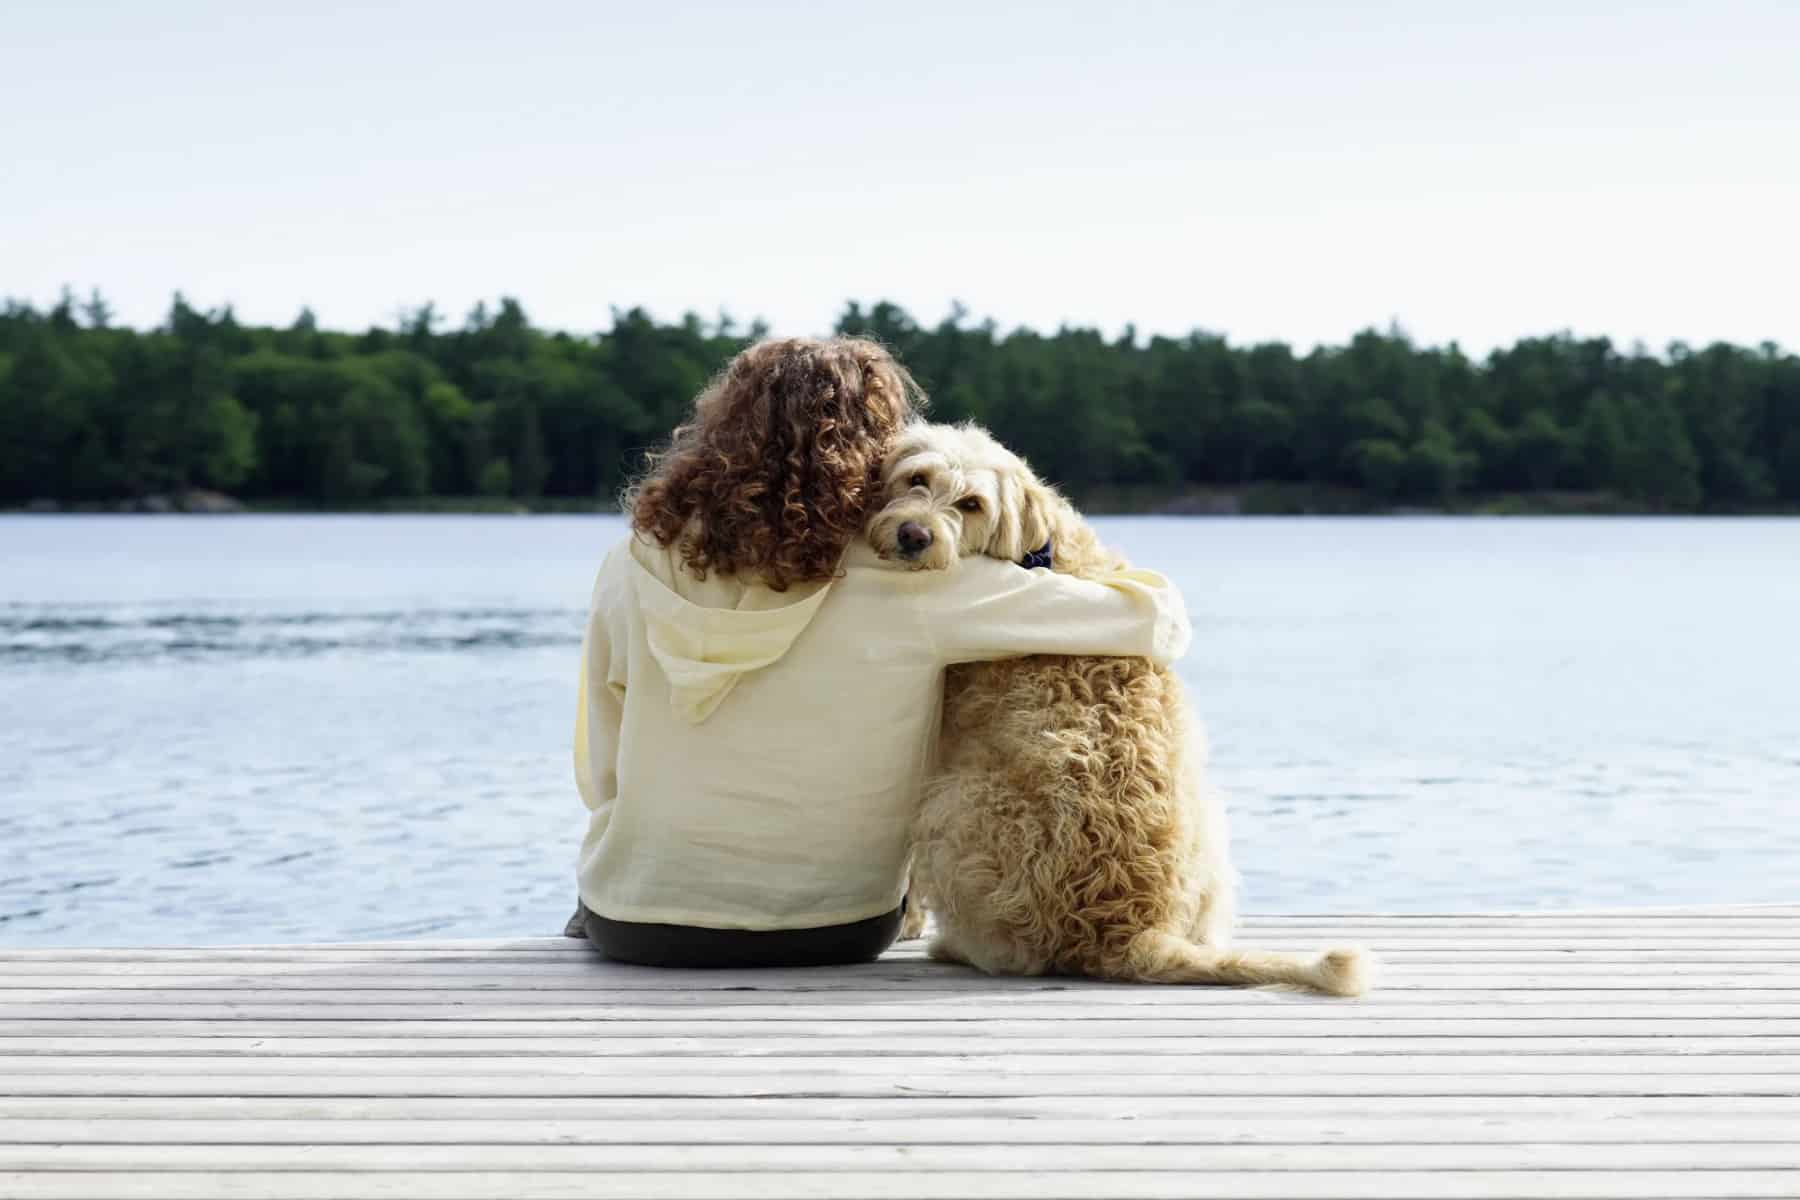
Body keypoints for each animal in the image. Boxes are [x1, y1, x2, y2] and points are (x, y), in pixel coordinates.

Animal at [867, 422, 1360, 993]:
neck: (1038, 550)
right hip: (1210, 822)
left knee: (1013, 953)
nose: (913, 536)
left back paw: (955, 947)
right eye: (916, 478)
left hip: (955, 802)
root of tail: (1127, 929)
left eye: (971, 504)